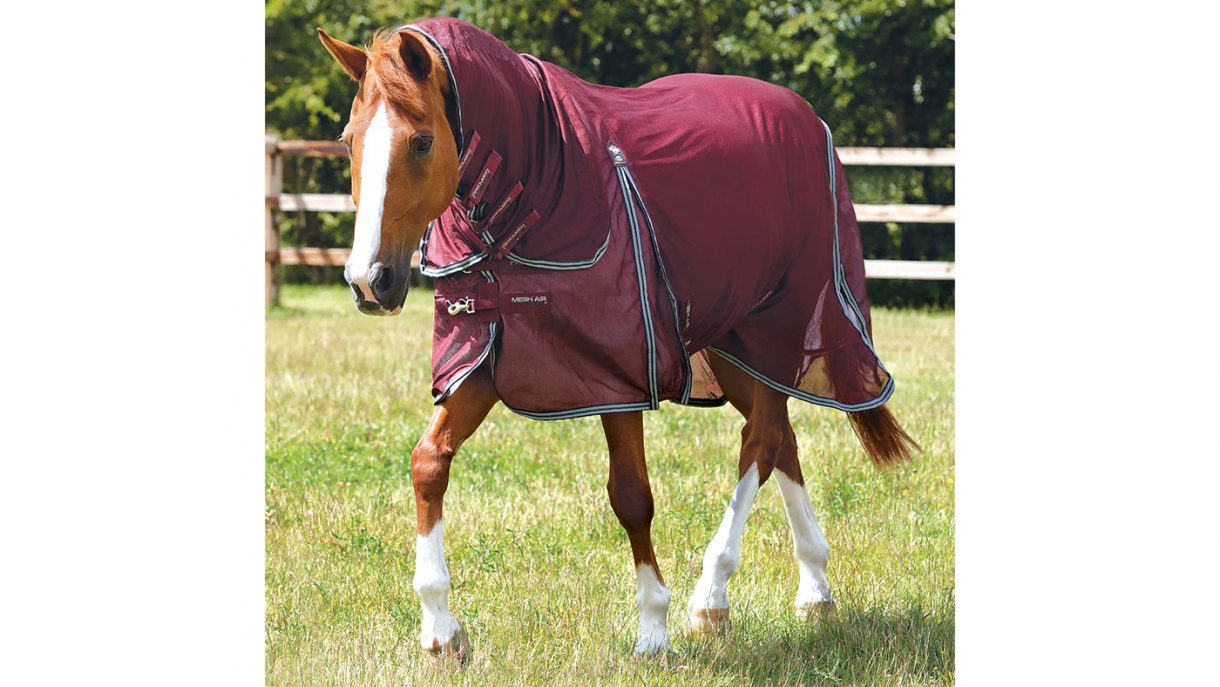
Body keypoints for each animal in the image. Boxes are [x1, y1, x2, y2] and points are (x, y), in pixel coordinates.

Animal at [316, 17, 918, 660]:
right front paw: (440, 629)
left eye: (423, 142)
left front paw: (654, 628)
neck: (536, 192)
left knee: (760, 440)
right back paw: (814, 589)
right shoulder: (485, 359)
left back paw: (710, 597)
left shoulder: (619, 374)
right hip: (732, 345)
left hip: (777, 327)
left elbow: (631, 494)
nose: (368, 280)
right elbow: (428, 462)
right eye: (348, 140)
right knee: (779, 438)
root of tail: (808, 118)